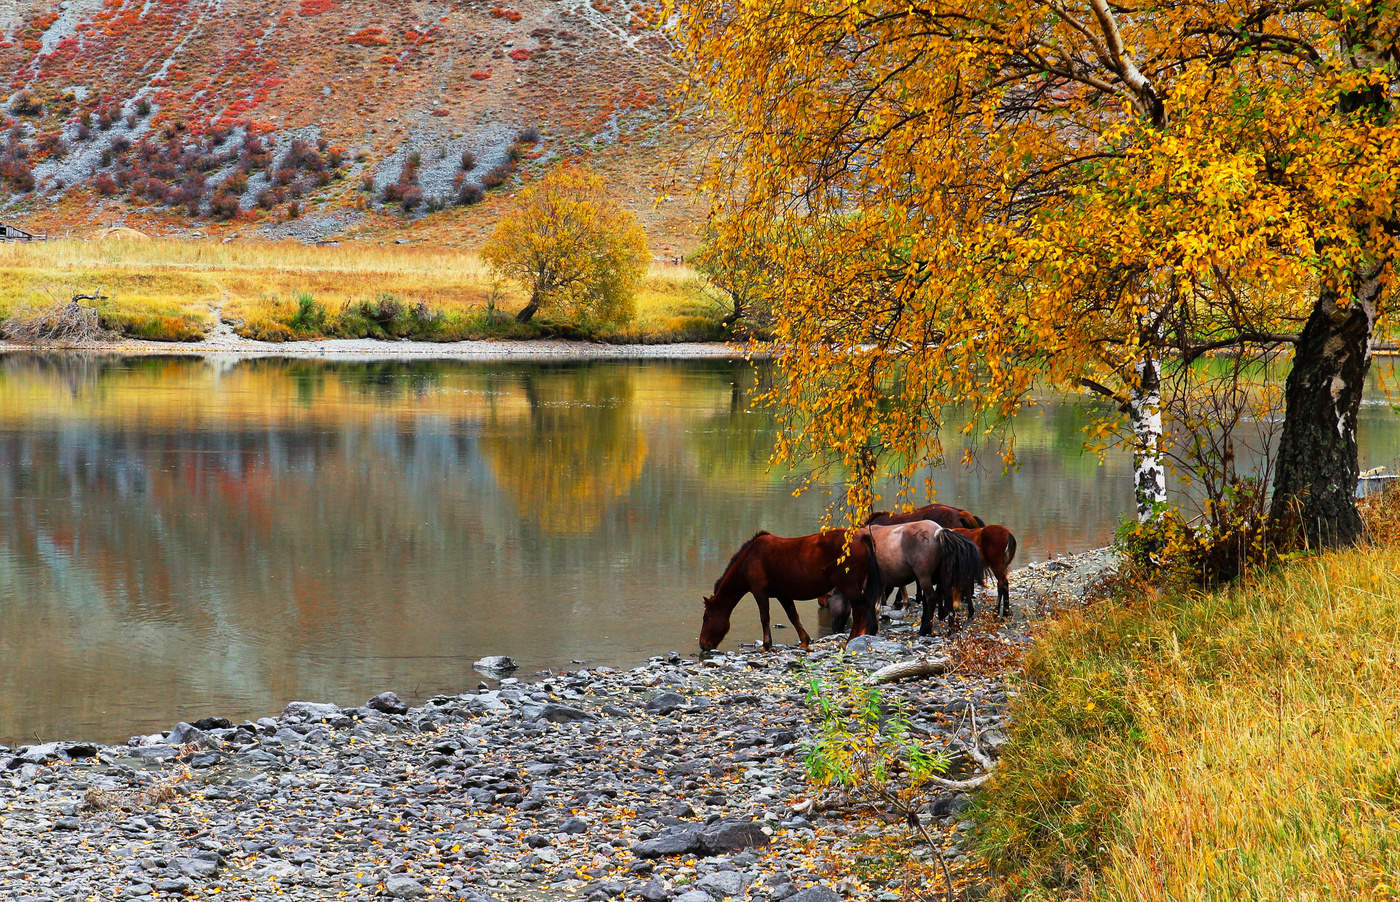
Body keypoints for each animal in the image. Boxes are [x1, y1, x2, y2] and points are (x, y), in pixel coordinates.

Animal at [700, 523, 884, 652]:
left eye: (706, 617)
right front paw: (804, 641)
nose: (702, 645)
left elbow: (764, 617)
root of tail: (862, 537)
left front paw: (766, 645)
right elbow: (793, 616)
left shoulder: (760, 591)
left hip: (849, 585)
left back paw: (850, 641)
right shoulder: (783, 594)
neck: (749, 558)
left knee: (861, 609)